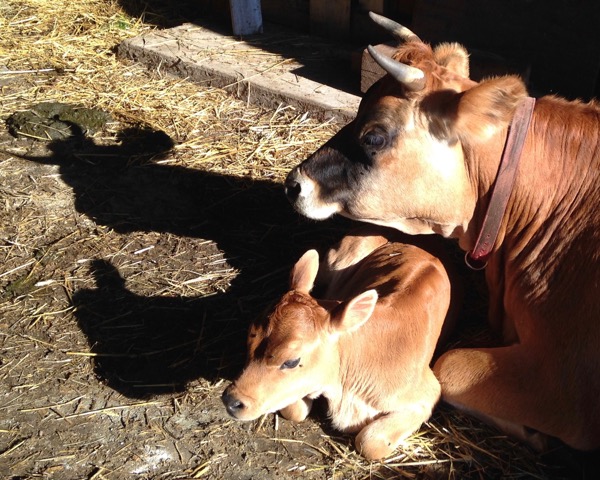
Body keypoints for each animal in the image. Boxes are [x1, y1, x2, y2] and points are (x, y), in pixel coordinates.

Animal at [221, 231, 454, 460]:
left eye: (291, 361)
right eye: (250, 338)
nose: (231, 400)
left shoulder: (427, 394)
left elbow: (369, 443)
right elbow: (294, 410)